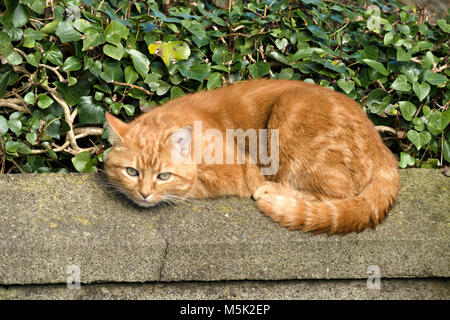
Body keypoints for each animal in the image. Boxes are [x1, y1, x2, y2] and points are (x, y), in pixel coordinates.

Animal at [103, 79, 400, 235]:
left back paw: (273, 190)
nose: (143, 194)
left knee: (333, 195)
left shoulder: (239, 171)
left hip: (290, 113)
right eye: (132, 172)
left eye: (163, 176)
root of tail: (383, 148)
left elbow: (190, 186)